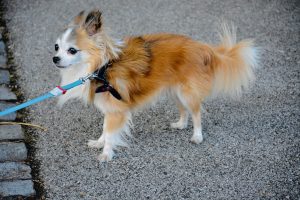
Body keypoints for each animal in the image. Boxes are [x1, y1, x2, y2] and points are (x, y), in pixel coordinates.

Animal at [51, 10, 258, 162]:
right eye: (56, 47)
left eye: (72, 50)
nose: (55, 59)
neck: (101, 68)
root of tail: (204, 48)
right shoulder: (110, 110)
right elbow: (104, 130)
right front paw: (99, 143)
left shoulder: (116, 111)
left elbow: (110, 134)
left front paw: (106, 154)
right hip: (174, 92)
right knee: (184, 110)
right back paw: (181, 124)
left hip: (186, 93)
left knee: (196, 112)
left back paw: (197, 136)